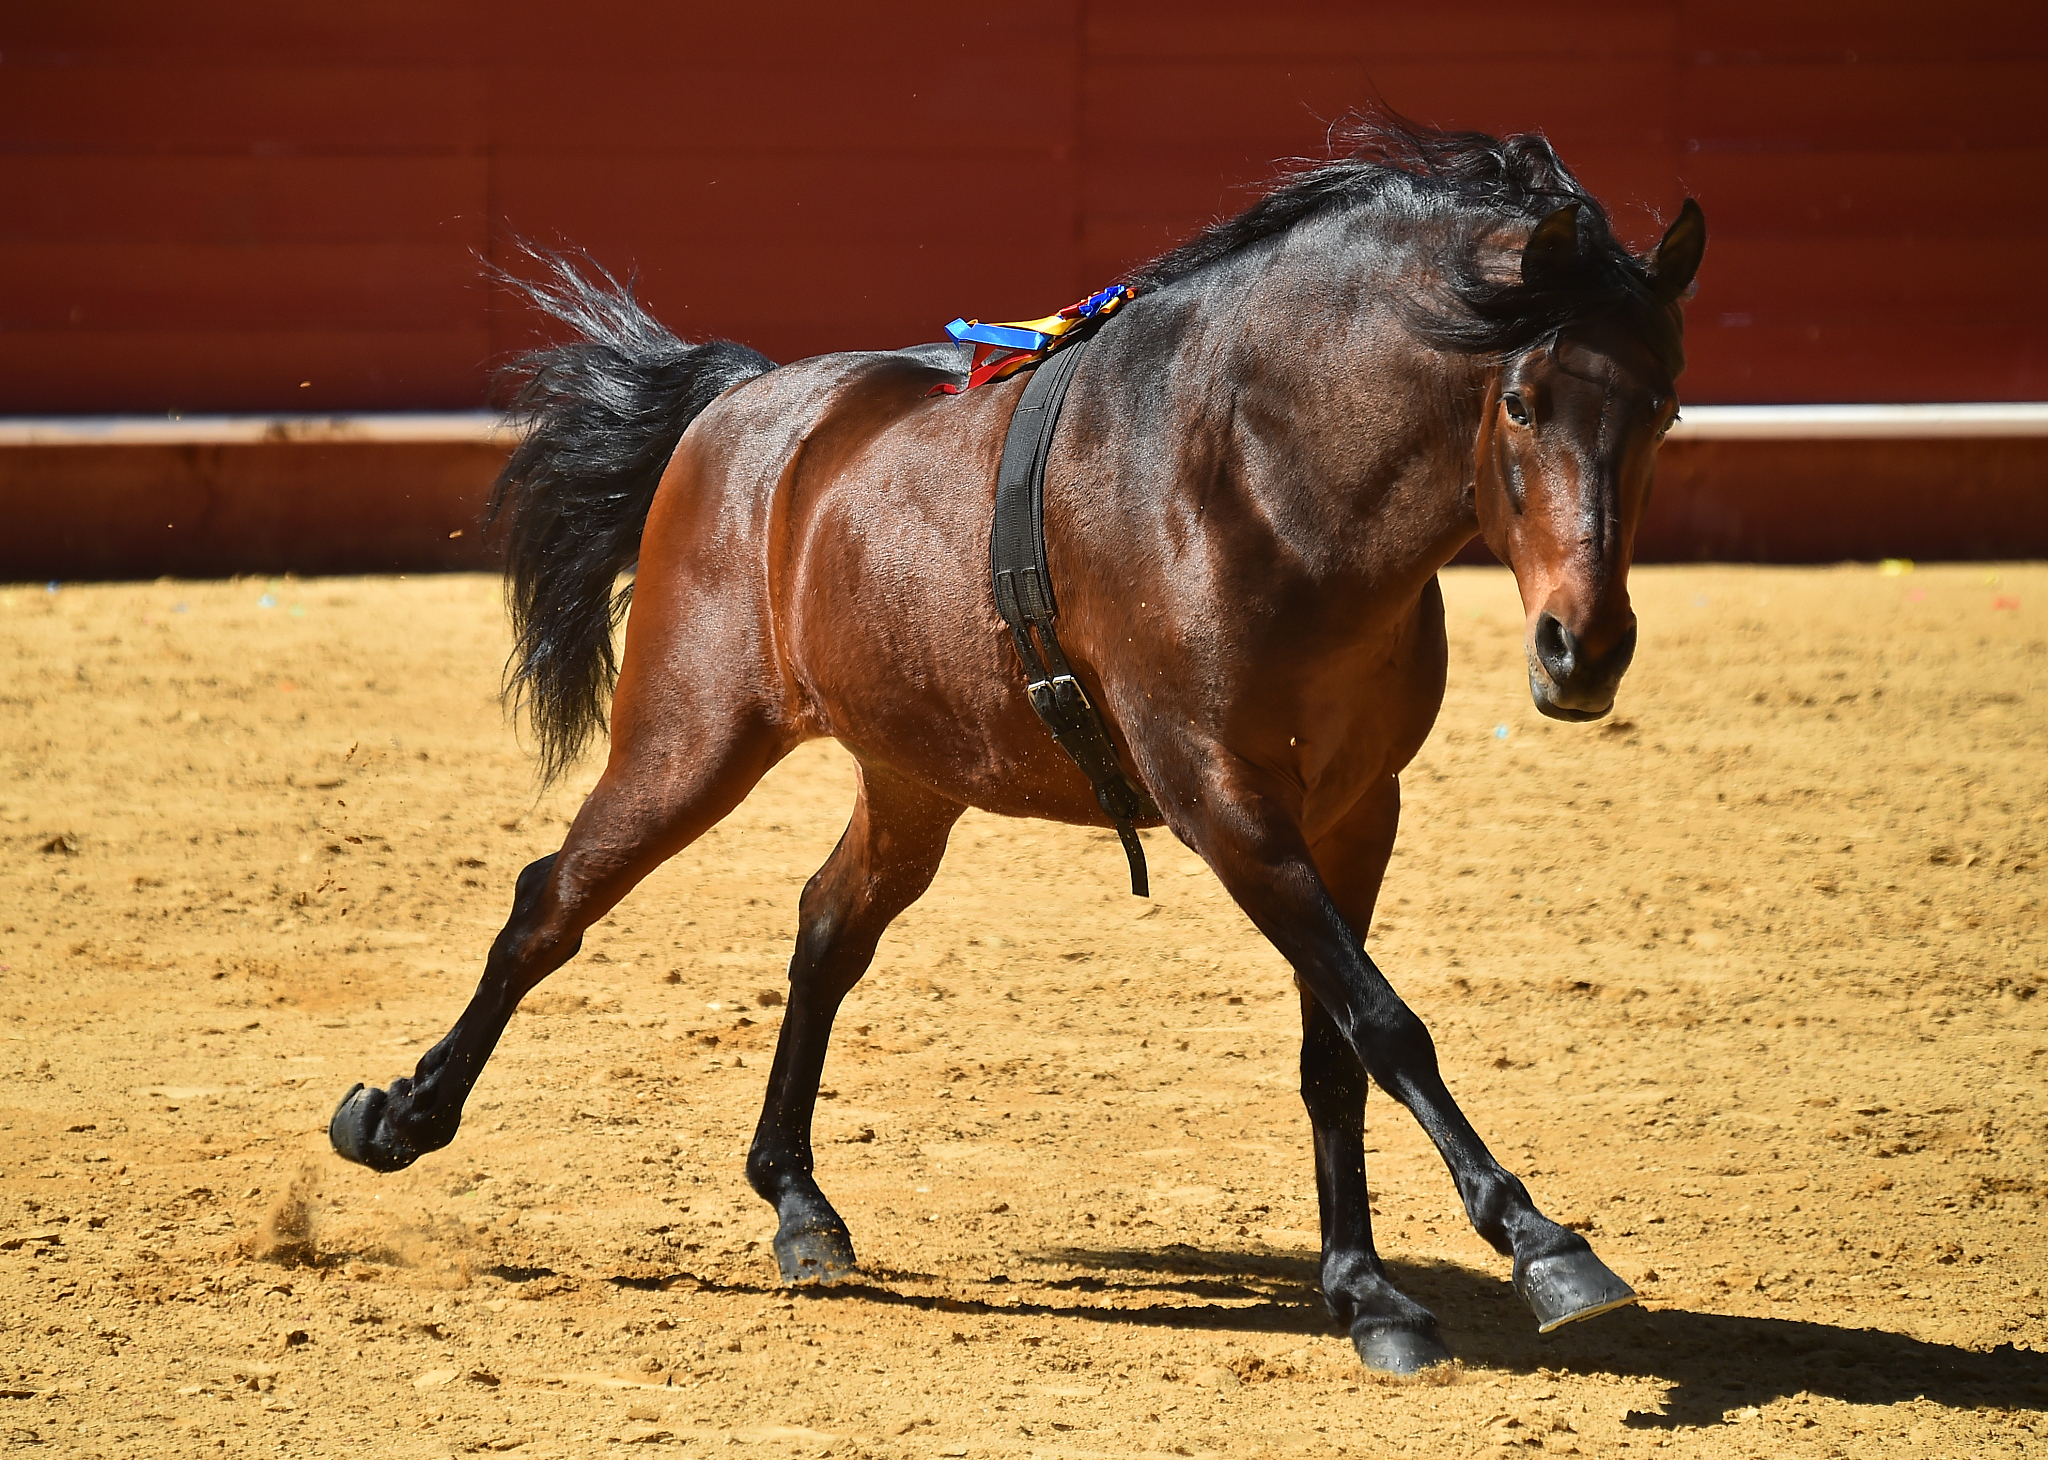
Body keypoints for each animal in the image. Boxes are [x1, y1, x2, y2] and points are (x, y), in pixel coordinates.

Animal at [328, 115, 1705, 1374]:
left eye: (1665, 409)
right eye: (1519, 400)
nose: (1582, 649)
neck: (1269, 491)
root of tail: (747, 404)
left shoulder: (1357, 809)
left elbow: (1337, 1044)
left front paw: (1364, 1287)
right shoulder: (1223, 801)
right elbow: (1382, 1020)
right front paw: (1539, 1244)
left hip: (909, 777)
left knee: (825, 925)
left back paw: (798, 1203)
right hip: (688, 737)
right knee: (549, 902)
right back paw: (397, 1117)